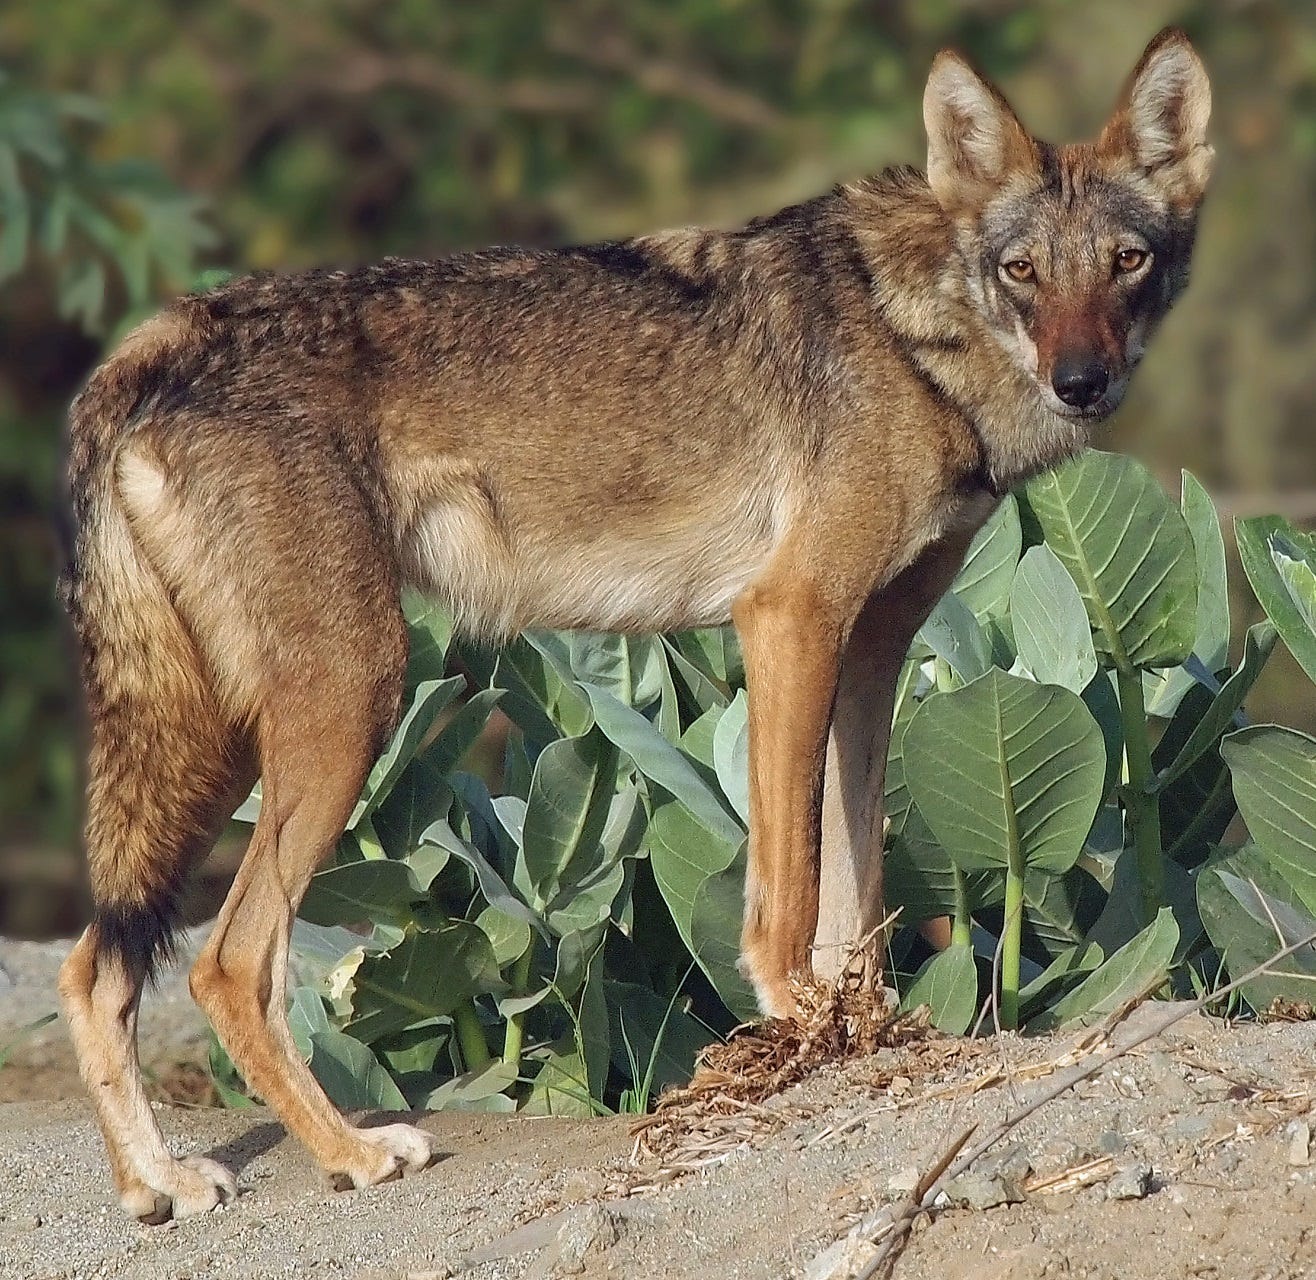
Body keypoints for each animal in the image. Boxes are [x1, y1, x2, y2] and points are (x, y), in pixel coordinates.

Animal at [57, 29, 1211, 1219]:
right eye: (1023, 271)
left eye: (1125, 262)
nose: (1081, 382)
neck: (913, 333)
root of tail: (148, 342)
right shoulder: (789, 617)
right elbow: (788, 895)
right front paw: (799, 1028)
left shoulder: (871, 655)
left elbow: (856, 895)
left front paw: (868, 1033)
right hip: (344, 707)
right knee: (225, 965)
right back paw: (352, 1150)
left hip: (217, 742)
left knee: (93, 968)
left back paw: (158, 1183)